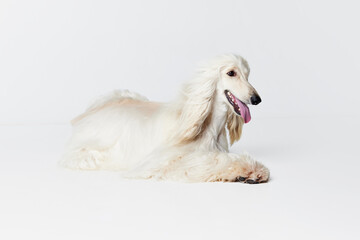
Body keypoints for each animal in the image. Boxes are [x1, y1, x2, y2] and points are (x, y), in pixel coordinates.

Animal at [60, 53, 270, 183]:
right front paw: (250, 170)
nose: (256, 99)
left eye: (248, 75)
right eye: (231, 73)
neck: (209, 127)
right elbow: (207, 162)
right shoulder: (158, 163)